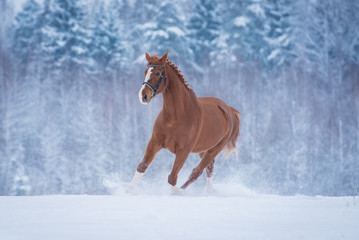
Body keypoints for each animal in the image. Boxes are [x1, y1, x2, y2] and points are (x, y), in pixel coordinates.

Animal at [128, 51, 240, 193]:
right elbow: (142, 167)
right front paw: (127, 191)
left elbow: (172, 178)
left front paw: (176, 194)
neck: (175, 117)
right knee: (209, 168)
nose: (143, 96)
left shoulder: (183, 151)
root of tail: (229, 110)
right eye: (145, 71)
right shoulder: (155, 142)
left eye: (158, 73)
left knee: (197, 172)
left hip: (214, 150)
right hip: (203, 149)